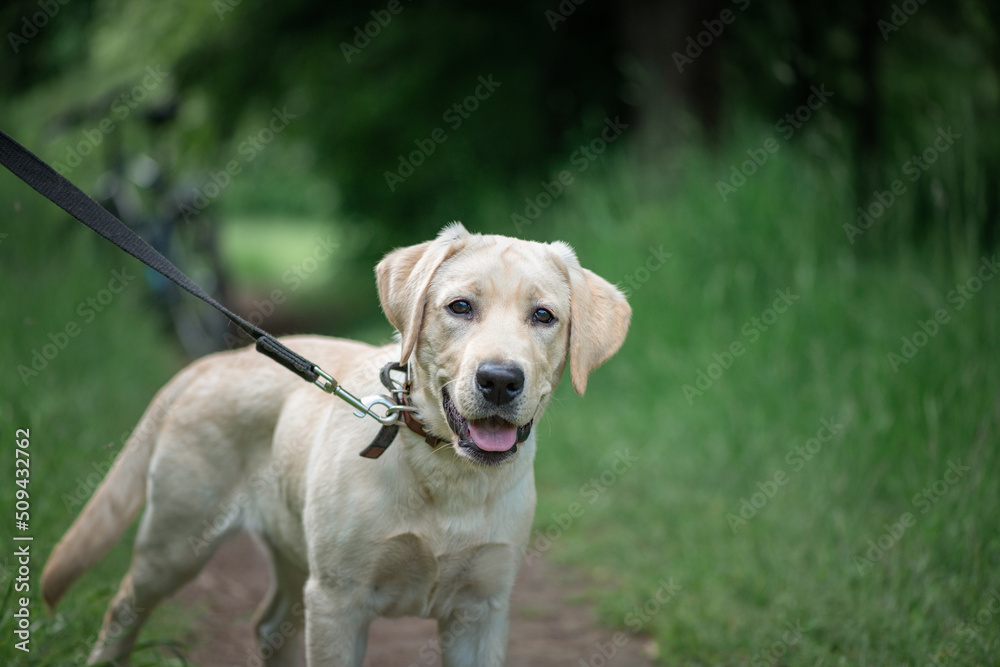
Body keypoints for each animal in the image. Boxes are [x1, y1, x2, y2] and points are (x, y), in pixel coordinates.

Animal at [45, 223, 632, 664]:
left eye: (544, 316)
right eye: (461, 307)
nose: (500, 380)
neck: (444, 470)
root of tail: (210, 362)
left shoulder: (482, 611)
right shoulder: (338, 601)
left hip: (290, 550)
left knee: (269, 626)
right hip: (176, 543)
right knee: (123, 608)